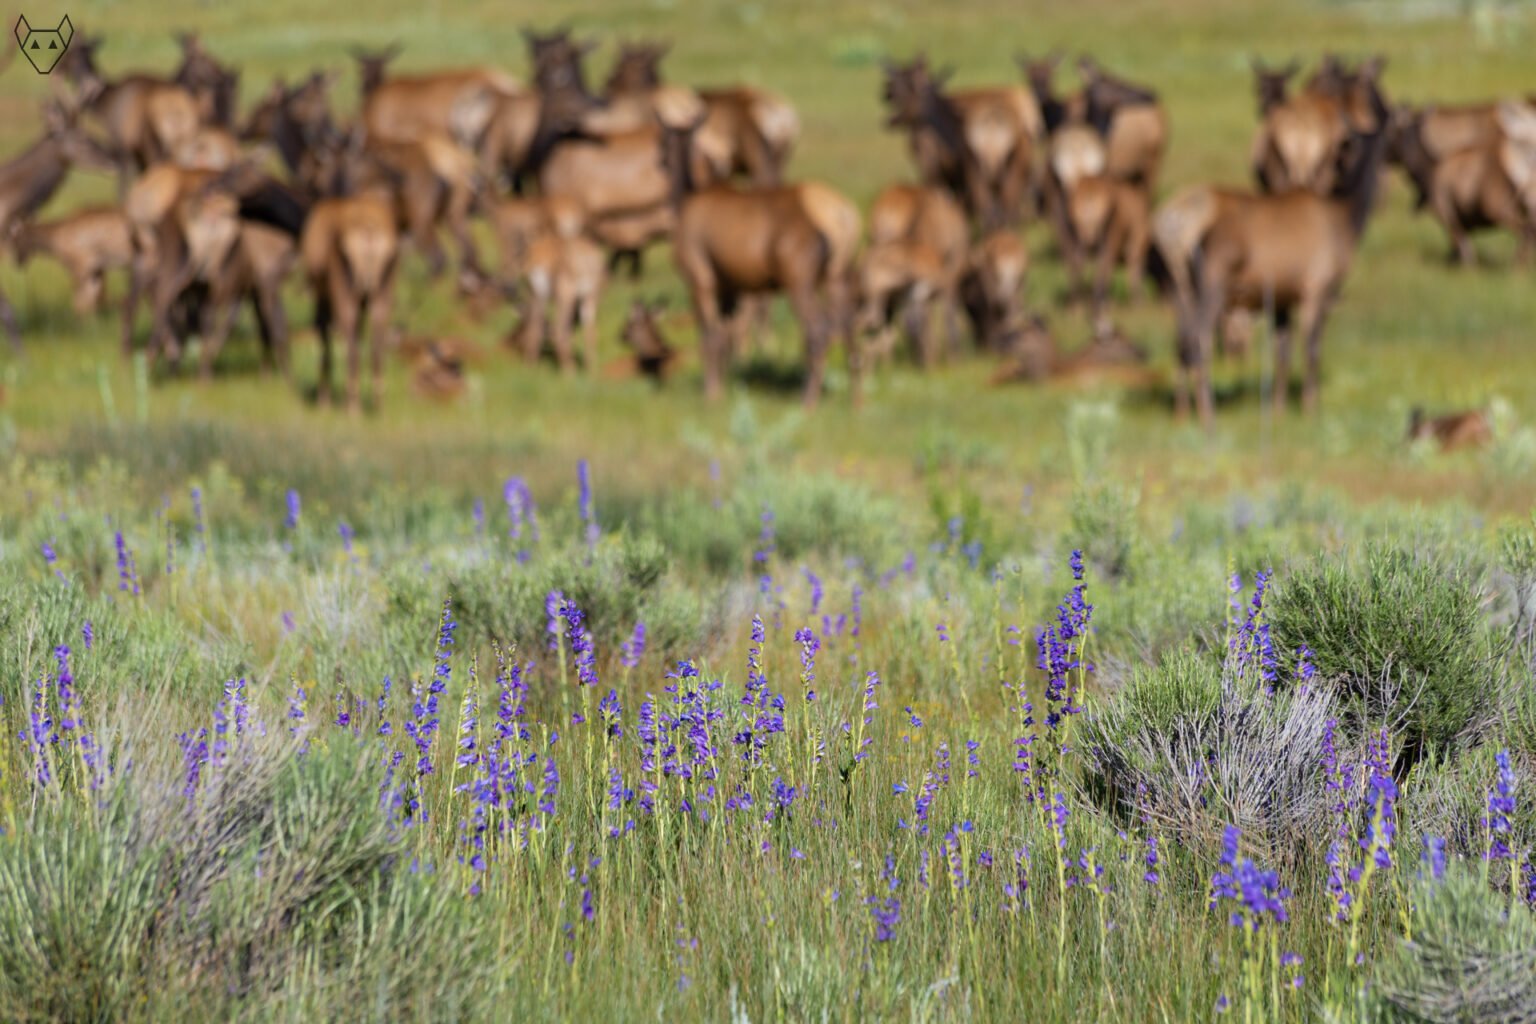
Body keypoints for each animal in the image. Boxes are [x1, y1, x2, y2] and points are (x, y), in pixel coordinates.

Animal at [1153, 82, 1390, 428]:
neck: (1346, 220)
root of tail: (1171, 225)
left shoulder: (1282, 296)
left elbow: (1282, 352)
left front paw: (1278, 410)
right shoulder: (1317, 287)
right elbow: (1312, 349)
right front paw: (1310, 407)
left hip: (1175, 287)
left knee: (1180, 341)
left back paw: (1181, 412)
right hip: (1213, 281)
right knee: (1198, 339)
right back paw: (1208, 414)